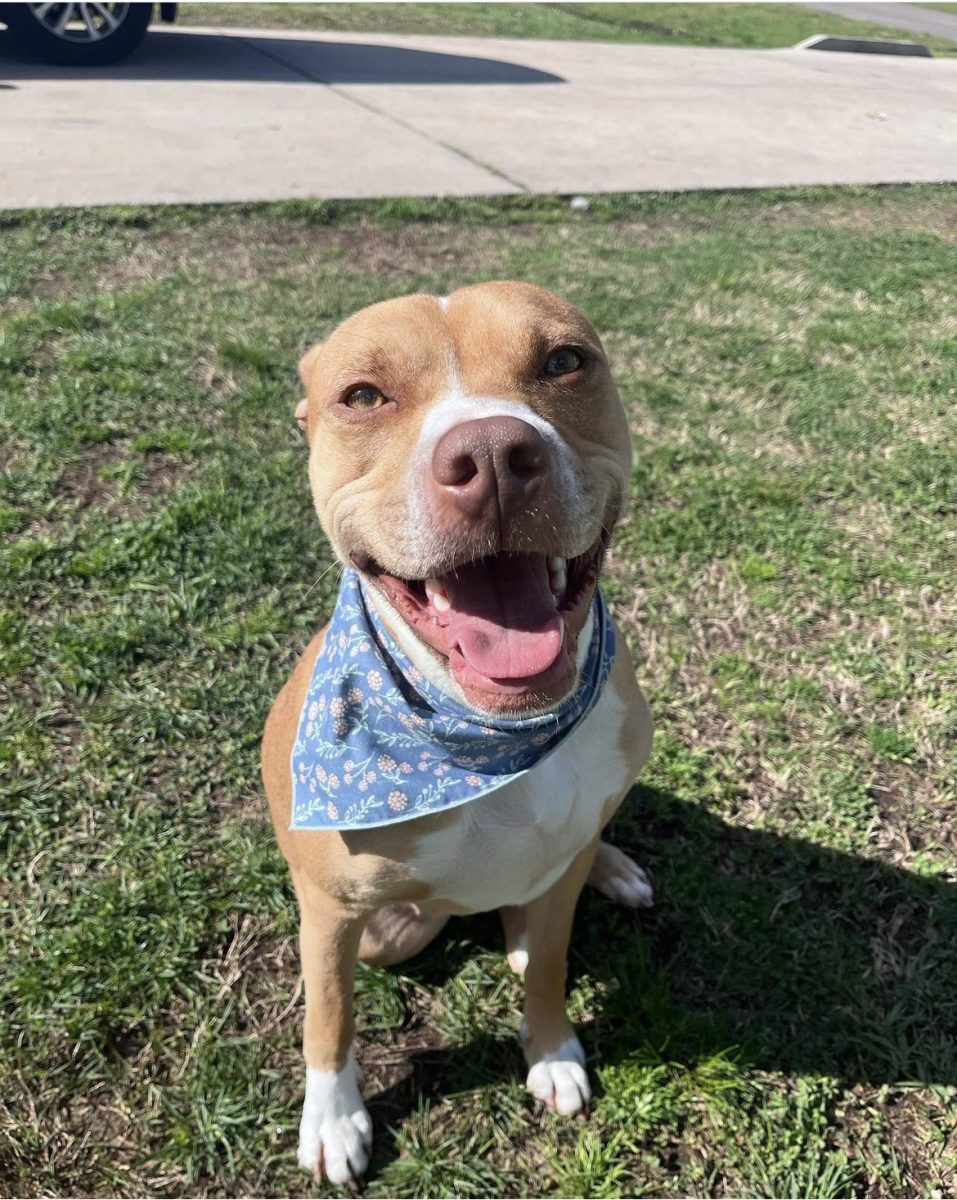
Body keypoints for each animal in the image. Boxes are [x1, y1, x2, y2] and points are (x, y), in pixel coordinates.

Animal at [259, 283, 657, 1190]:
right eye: (362, 396)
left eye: (564, 360)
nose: (494, 455)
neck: (485, 741)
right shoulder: (331, 913)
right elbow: (329, 1013)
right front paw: (333, 1121)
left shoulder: (558, 867)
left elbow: (550, 965)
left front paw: (551, 1052)